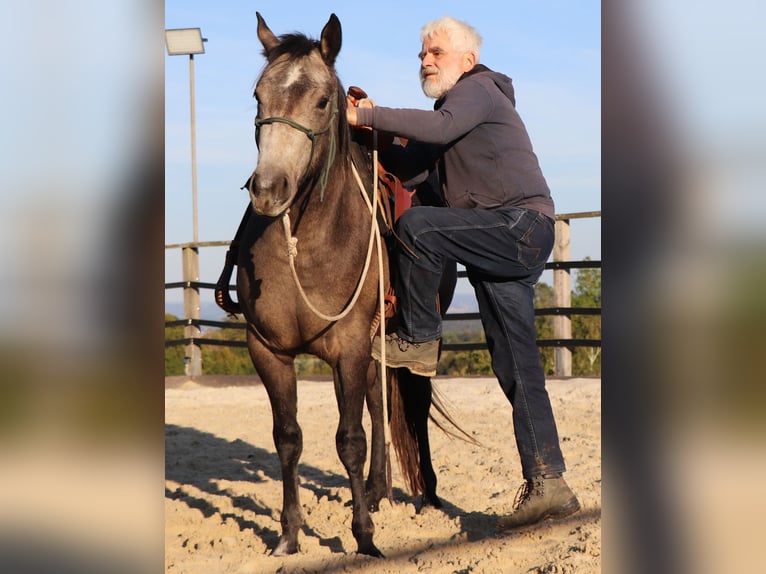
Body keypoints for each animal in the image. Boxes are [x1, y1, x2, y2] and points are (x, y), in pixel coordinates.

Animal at [236, 12, 462, 560]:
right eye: (258, 96)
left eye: (322, 101)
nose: (268, 189)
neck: (306, 244)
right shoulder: (268, 350)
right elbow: (288, 437)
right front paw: (290, 534)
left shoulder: (350, 344)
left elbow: (349, 440)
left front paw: (364, 538)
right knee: (379, 403)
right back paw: (379, 490)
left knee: (410, 404)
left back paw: (426, 497)